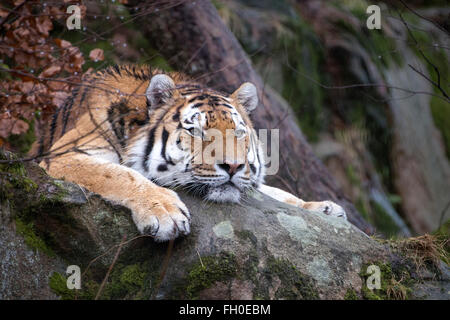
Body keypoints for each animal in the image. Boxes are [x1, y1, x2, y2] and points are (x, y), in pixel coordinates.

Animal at [35, 64, 346, 240]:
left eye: (239, 132)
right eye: (196, 131)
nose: (233, 166)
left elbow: (277, 193)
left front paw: (324, 209)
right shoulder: (64, 155)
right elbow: (120, 175)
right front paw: (165, 213)